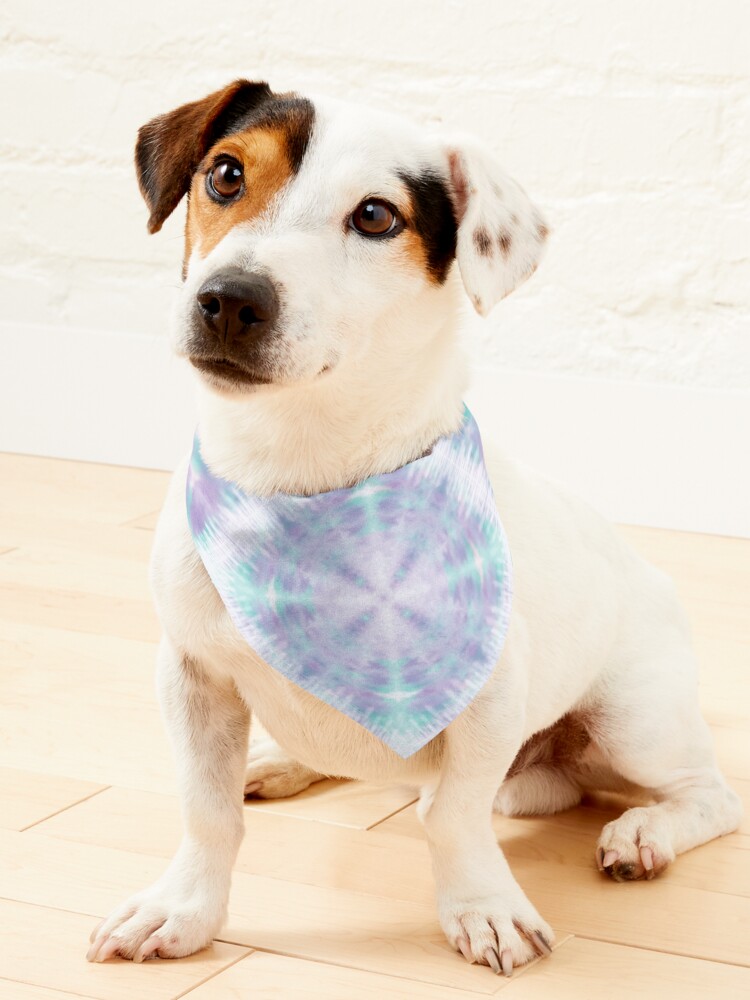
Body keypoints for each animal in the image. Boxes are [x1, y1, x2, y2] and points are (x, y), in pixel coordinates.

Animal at [85, 80, 744, 976]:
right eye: (225, 174)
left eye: (375, 216)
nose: (229, 299)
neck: (302, 470)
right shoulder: (192, 677)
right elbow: (207, 811)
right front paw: (183, 909)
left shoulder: (489, 700)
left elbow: (454, 816)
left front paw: (483, 907)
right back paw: (282, 761)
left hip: (634, 720)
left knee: (708, 796)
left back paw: (644, 833)